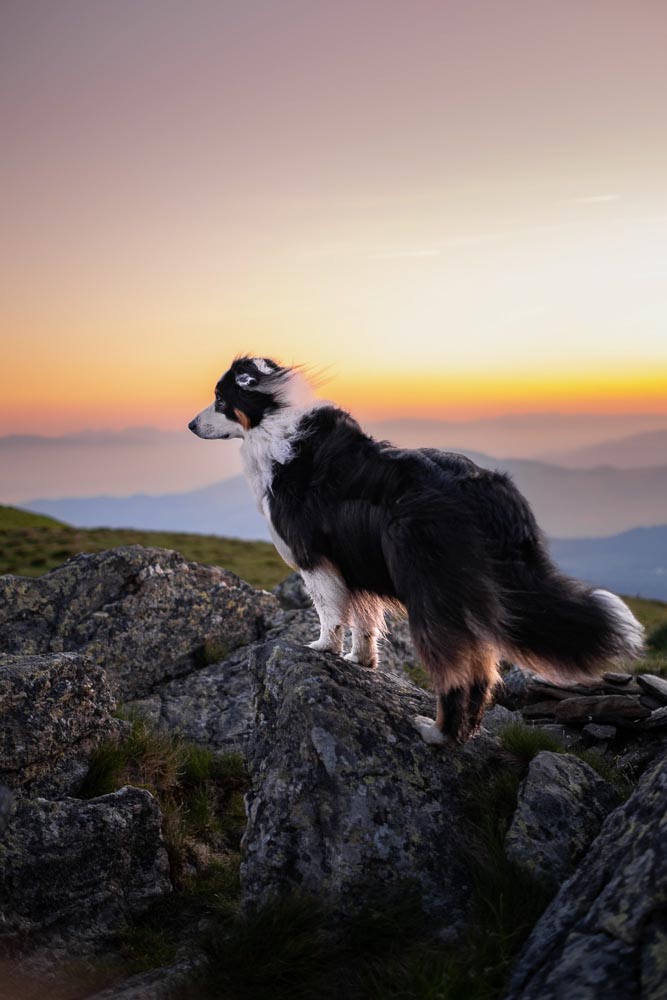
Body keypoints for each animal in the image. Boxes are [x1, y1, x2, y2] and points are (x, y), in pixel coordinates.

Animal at [189, 358, 648, 744]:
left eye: (220, 399)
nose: (191, 425)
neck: (275, 421)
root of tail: (488, 492)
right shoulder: (354, 561)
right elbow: (364, 619)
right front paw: (361, 660)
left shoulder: (314, 558)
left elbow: (330, 612)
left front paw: (322, 648)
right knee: (483, 668)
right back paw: (464, 733)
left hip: (429, 590)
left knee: (455, 670)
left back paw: (437, 733)